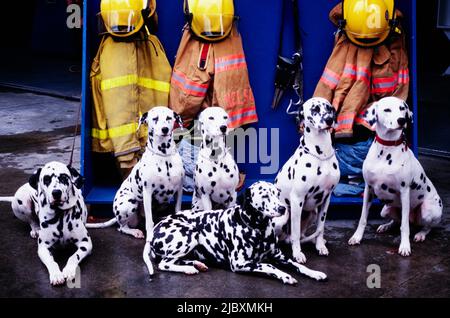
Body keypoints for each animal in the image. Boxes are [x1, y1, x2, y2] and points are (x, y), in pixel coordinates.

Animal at [88, 107, 185, 276]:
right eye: (155, 118)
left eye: (168, 118)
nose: (164, 129)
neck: (164, 156)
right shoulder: (147, 193)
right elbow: (149, 221)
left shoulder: (178, 189)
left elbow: (177, 209)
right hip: (128, 203)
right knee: (121, 227)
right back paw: (134, 232)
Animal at [151, 180, 326, 284]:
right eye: (264, 195)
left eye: (277, 194)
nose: (283, 208)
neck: (259, 230)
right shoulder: (240, 263)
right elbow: (268, 265)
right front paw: (285, 275)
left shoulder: (280, 256)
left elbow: (297, 265)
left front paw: (314, 272)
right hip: (190, 234)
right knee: (164, 264)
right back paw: (188, 269)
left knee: (177, 261)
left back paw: (197, 264)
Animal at [272, 97, 340, 264]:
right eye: (315, 109)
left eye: (329, 108)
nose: (329, 120)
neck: (321, 154)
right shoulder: (297, 200)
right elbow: (295, 233)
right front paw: (297, 253)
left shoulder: (326, 199)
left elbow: (320, 228)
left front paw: (320, 246)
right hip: (284, 216)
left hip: (312, 213)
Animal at [348, 97, 442, 256]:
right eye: (387, 110)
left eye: (402, 108)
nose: (401, 120)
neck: (387, 148)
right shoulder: (368, 189)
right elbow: (363, 218)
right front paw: (357, 237)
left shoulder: (404, 192)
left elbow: (404, 226)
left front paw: (404, 246)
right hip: (385, 209)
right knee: (396, 221)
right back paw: (386, 226)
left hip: (427, 210)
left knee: (426, 226)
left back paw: (420, 234)